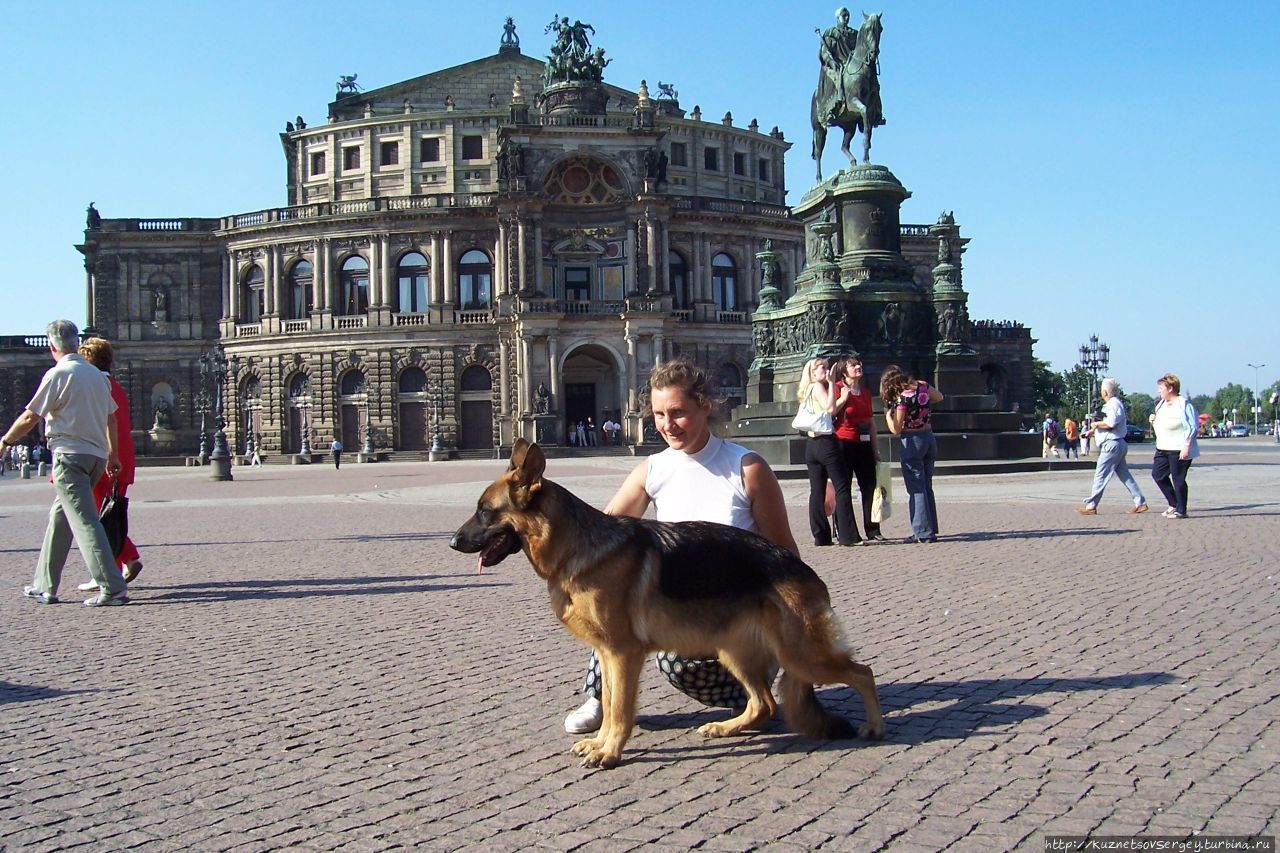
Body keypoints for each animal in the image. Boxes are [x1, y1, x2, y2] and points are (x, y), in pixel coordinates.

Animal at [448, 440, 880, 768]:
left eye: (485, 512)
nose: (451, 542)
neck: (576, 547)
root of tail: (803, 568)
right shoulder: (607, 654)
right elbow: (608, 703)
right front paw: (600, 743)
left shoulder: (623, 655)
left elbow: (620, 710)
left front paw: (609, 752)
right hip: (736, 654)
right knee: (765, 704)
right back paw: (726, 728)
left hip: (800, 655)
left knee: (863, 672)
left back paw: (874, 727)